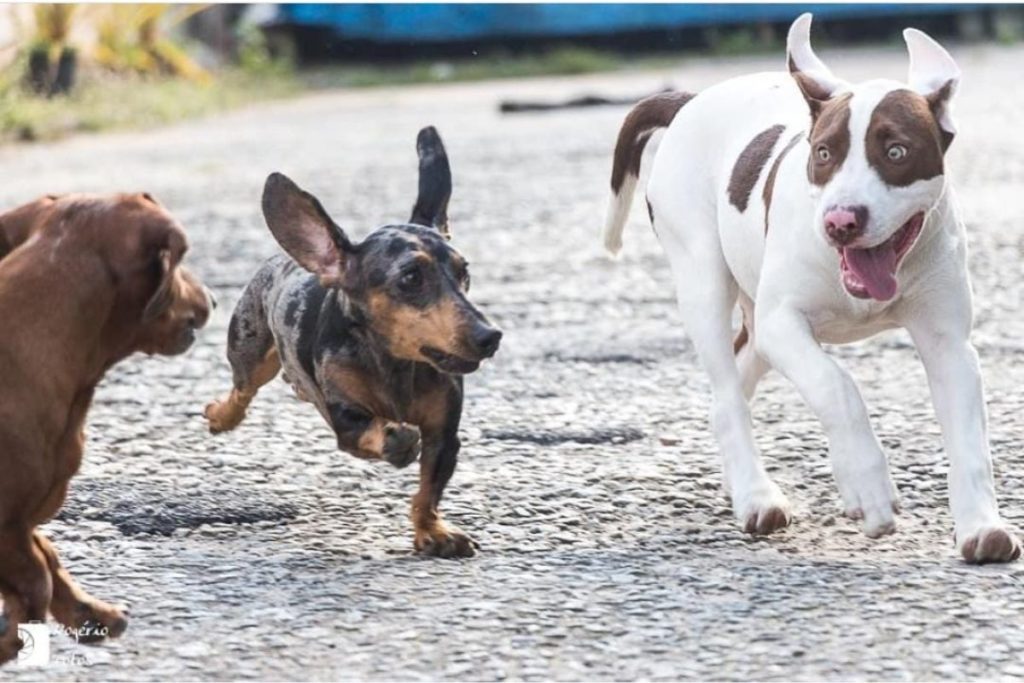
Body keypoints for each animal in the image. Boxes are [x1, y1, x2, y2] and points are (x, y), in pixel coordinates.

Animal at [0, 193, 210, 667]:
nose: (212, 298)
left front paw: (88, 613)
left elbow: (46, 558)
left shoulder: (21, 522)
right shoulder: (7, 524)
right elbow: (37, 578)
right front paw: (11, 636)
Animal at [602, 13, 1019, 565]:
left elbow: (970, 442)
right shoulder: (783, 324)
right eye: (824, 153)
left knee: (733, 382)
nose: (841, 221)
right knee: (729, 394)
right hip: (703, 280)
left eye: (897, 151)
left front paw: (981, 527)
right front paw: (867, 487)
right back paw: (757, 497)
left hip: (754, 321)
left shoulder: (949, 346)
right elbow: (836, 385)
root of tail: (692, 99)